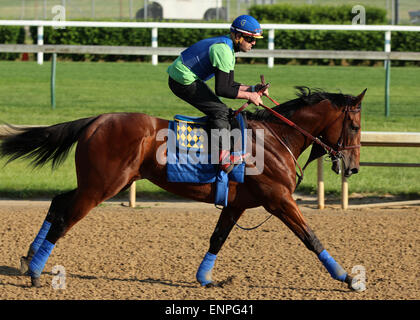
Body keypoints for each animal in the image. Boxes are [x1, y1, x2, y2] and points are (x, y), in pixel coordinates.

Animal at [0, 85, 366, 290]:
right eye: (354, 125)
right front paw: (349, 278)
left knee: (58, 202)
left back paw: (29, 257)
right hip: (101, 186)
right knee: (64, 218)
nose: (353, 167)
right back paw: (36, 273)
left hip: (98, 182)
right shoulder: (279, 199)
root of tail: (96, 120)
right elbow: (310, 237)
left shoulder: (237, 204)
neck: (275, 140)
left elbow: (218, 238)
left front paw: (206, 278)